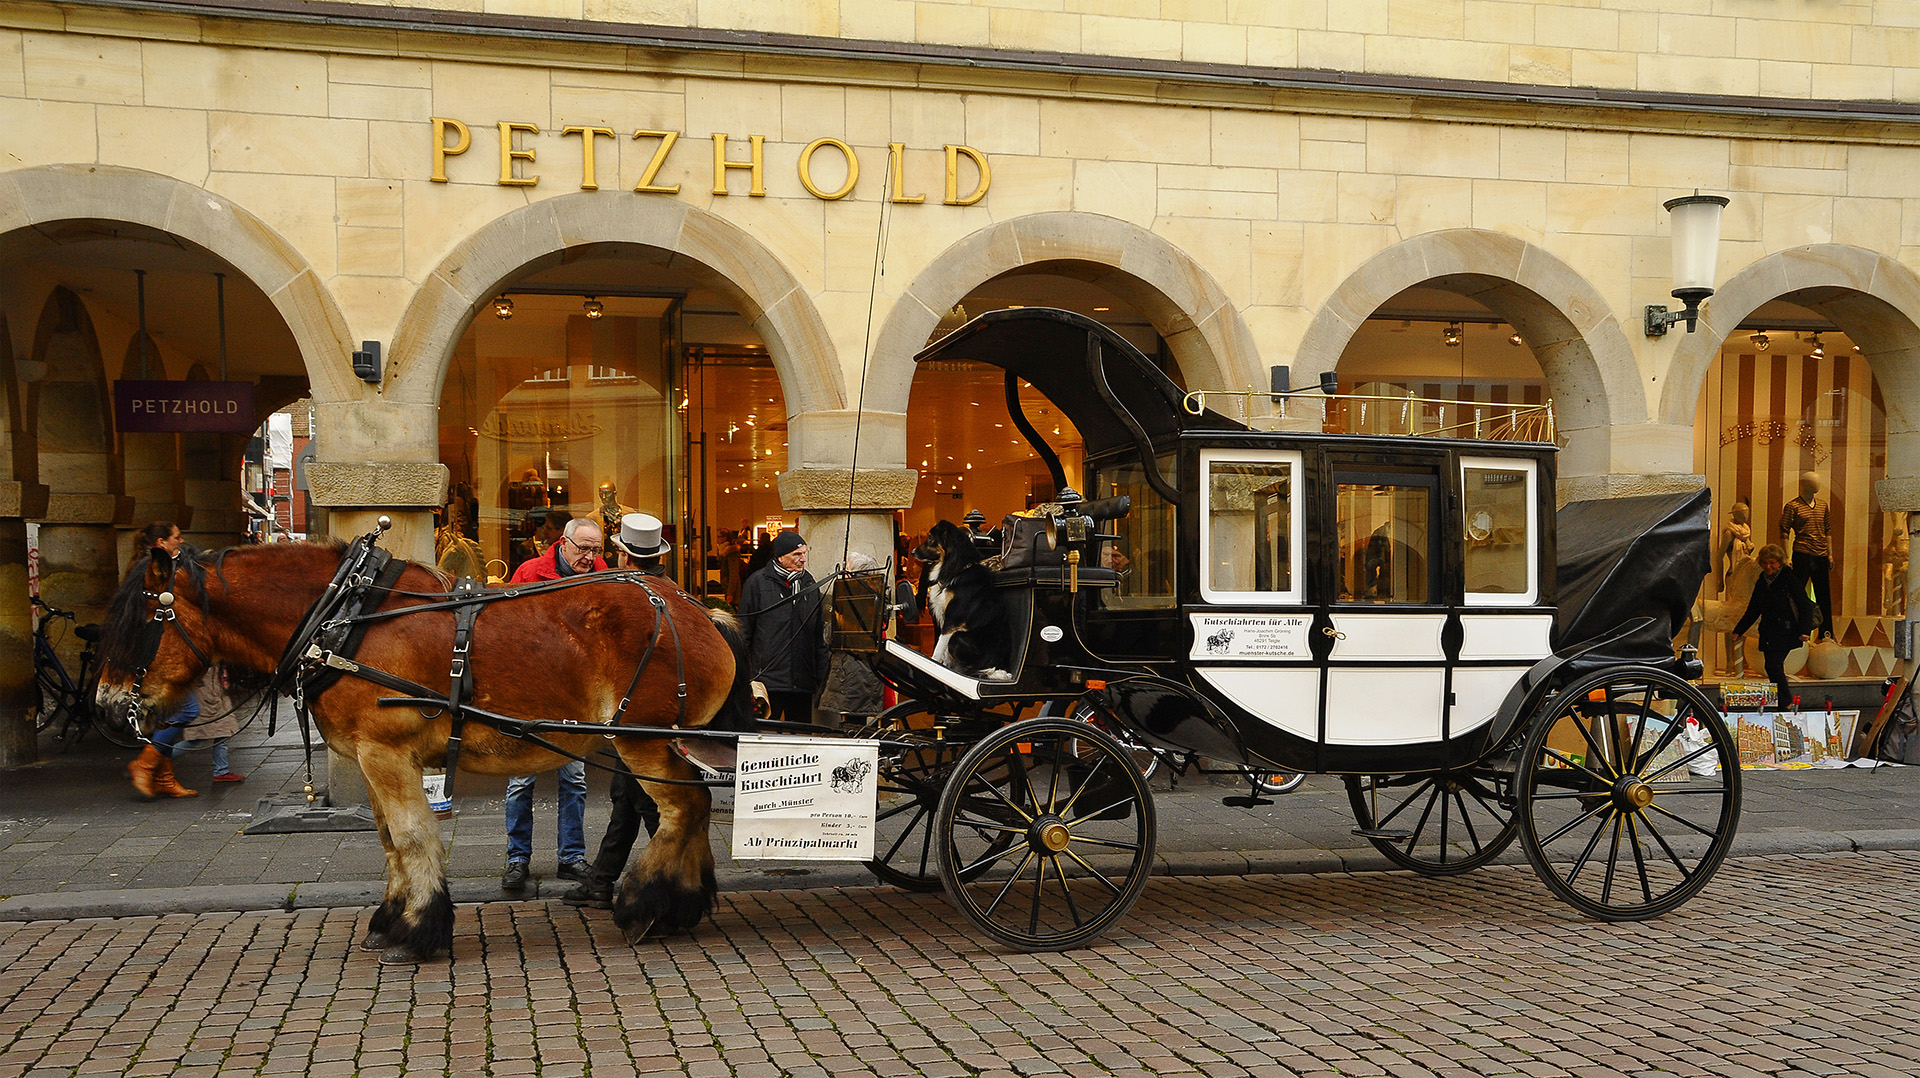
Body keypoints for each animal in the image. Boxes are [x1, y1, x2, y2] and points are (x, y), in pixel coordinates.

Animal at [95, 538, 741, 956]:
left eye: (140, 624)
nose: (104, 707)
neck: (345, 620)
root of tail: (693, 607)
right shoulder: (368, 756)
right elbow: (387, 839)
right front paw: (390, 917)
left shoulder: (386, 752)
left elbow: (410, 835)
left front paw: (418, 927)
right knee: (687, 806)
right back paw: (681, 904)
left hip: (642, 738)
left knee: (683, 807)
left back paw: (644, 904)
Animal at [917, 518, 1013, 676]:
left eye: (930, 538)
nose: (913, 552)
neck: (957, 571)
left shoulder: (953, 618)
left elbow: (940, 645)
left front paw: (934, 662)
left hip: (958, 638)